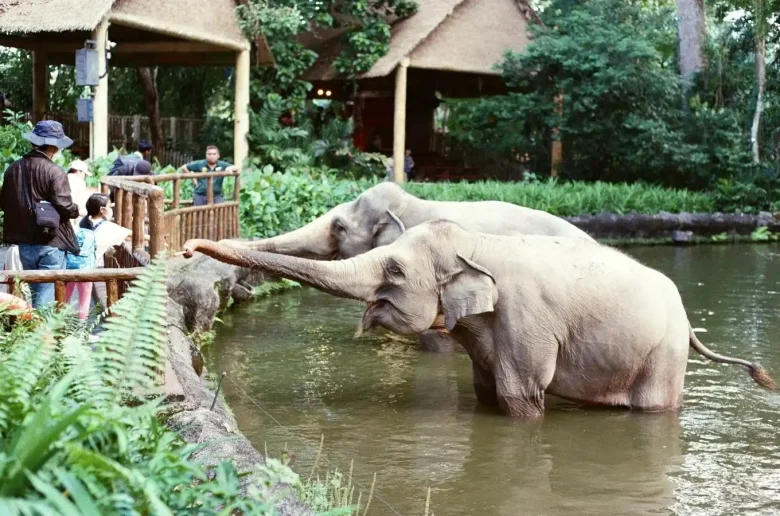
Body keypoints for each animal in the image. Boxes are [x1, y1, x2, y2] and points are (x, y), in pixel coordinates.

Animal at [182, 220, 775, 418]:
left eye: (394, 269)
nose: (188, 247)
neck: (479, 242)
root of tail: (690, 324)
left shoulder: (527, 320)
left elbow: (520, 396)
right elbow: (487, 390)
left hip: (664, 354)